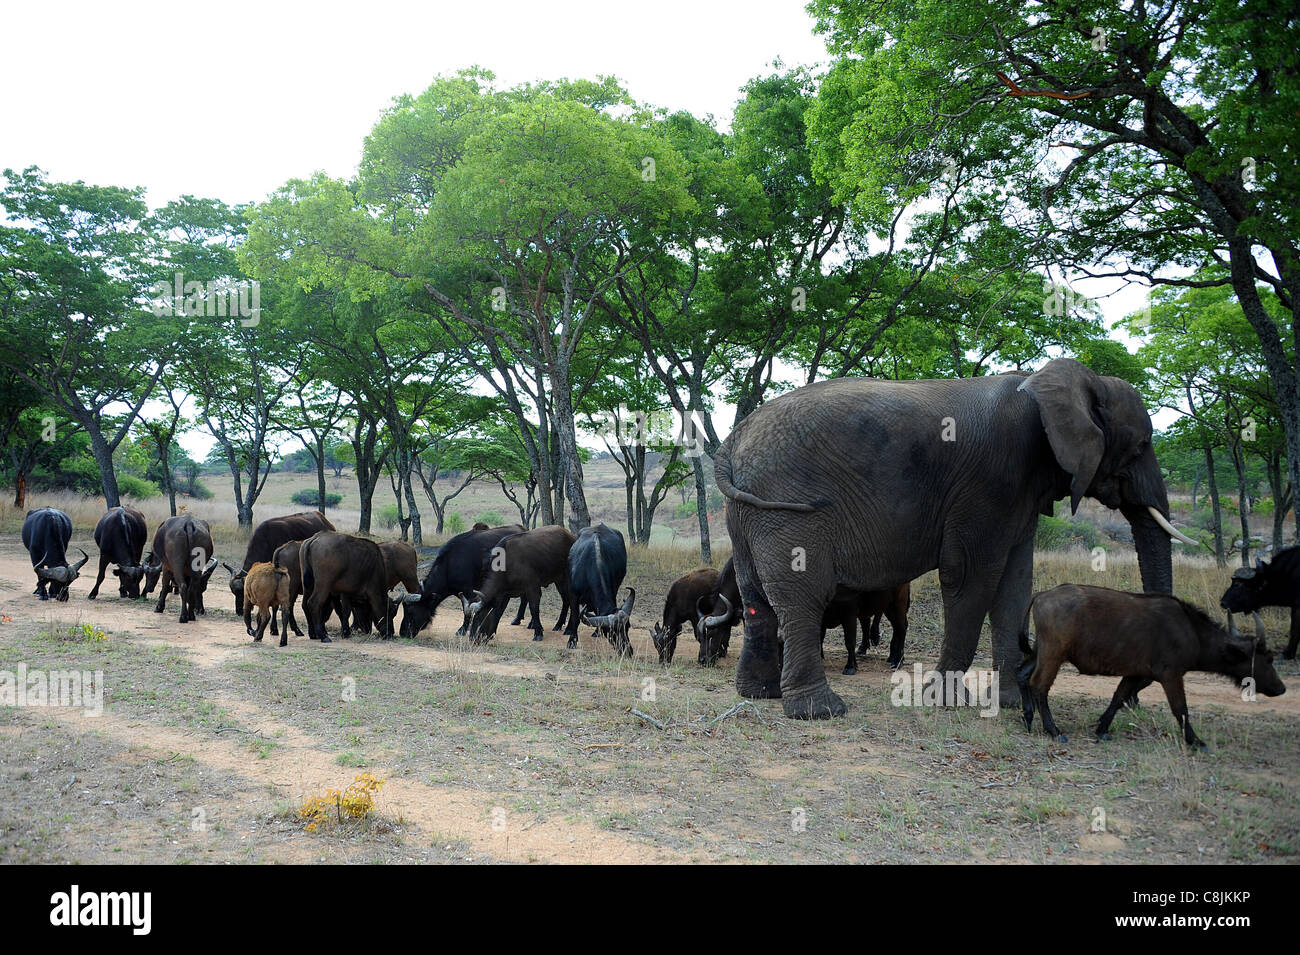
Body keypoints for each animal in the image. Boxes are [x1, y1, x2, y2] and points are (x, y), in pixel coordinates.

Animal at [397, 527, 525, 639]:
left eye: (410, 611)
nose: (402, 632)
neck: (450, 565)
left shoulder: (470, 592)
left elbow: (466, 610)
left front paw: (462, 630)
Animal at [569, 522, 634, 657]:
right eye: (611, 632)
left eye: (627, 627)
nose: (627, 651)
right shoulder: (573, 594)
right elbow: (575, 617)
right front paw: (572, 640)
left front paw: (597, 631)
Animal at [717, 361, 1190, 722]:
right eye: (1141, 445)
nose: (1131, 702)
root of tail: (731, 443)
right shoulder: (990, 483)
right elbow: (970, 577)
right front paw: (942, 702)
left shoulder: (1019, 492)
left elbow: (1014, 585)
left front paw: (1010, 703)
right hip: (787, 507)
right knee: (803, 597)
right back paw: (821, 712)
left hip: (746, 513)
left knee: (754, 594)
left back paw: (759, 695)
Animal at [1013, 587, 1279, 748]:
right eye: (1268, 659)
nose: (1281, 688)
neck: (1191, 630)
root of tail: (1042, 594)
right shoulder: (1170, 675)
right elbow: (1180, 708)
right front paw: (1195, 741)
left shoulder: (1136, 674)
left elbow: (1118, 697)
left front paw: (1102, 728)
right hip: (1053, 654)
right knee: (1039, 685)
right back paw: (1053, 730)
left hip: (1040, 651)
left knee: (1022, 673)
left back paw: (1028, 718)